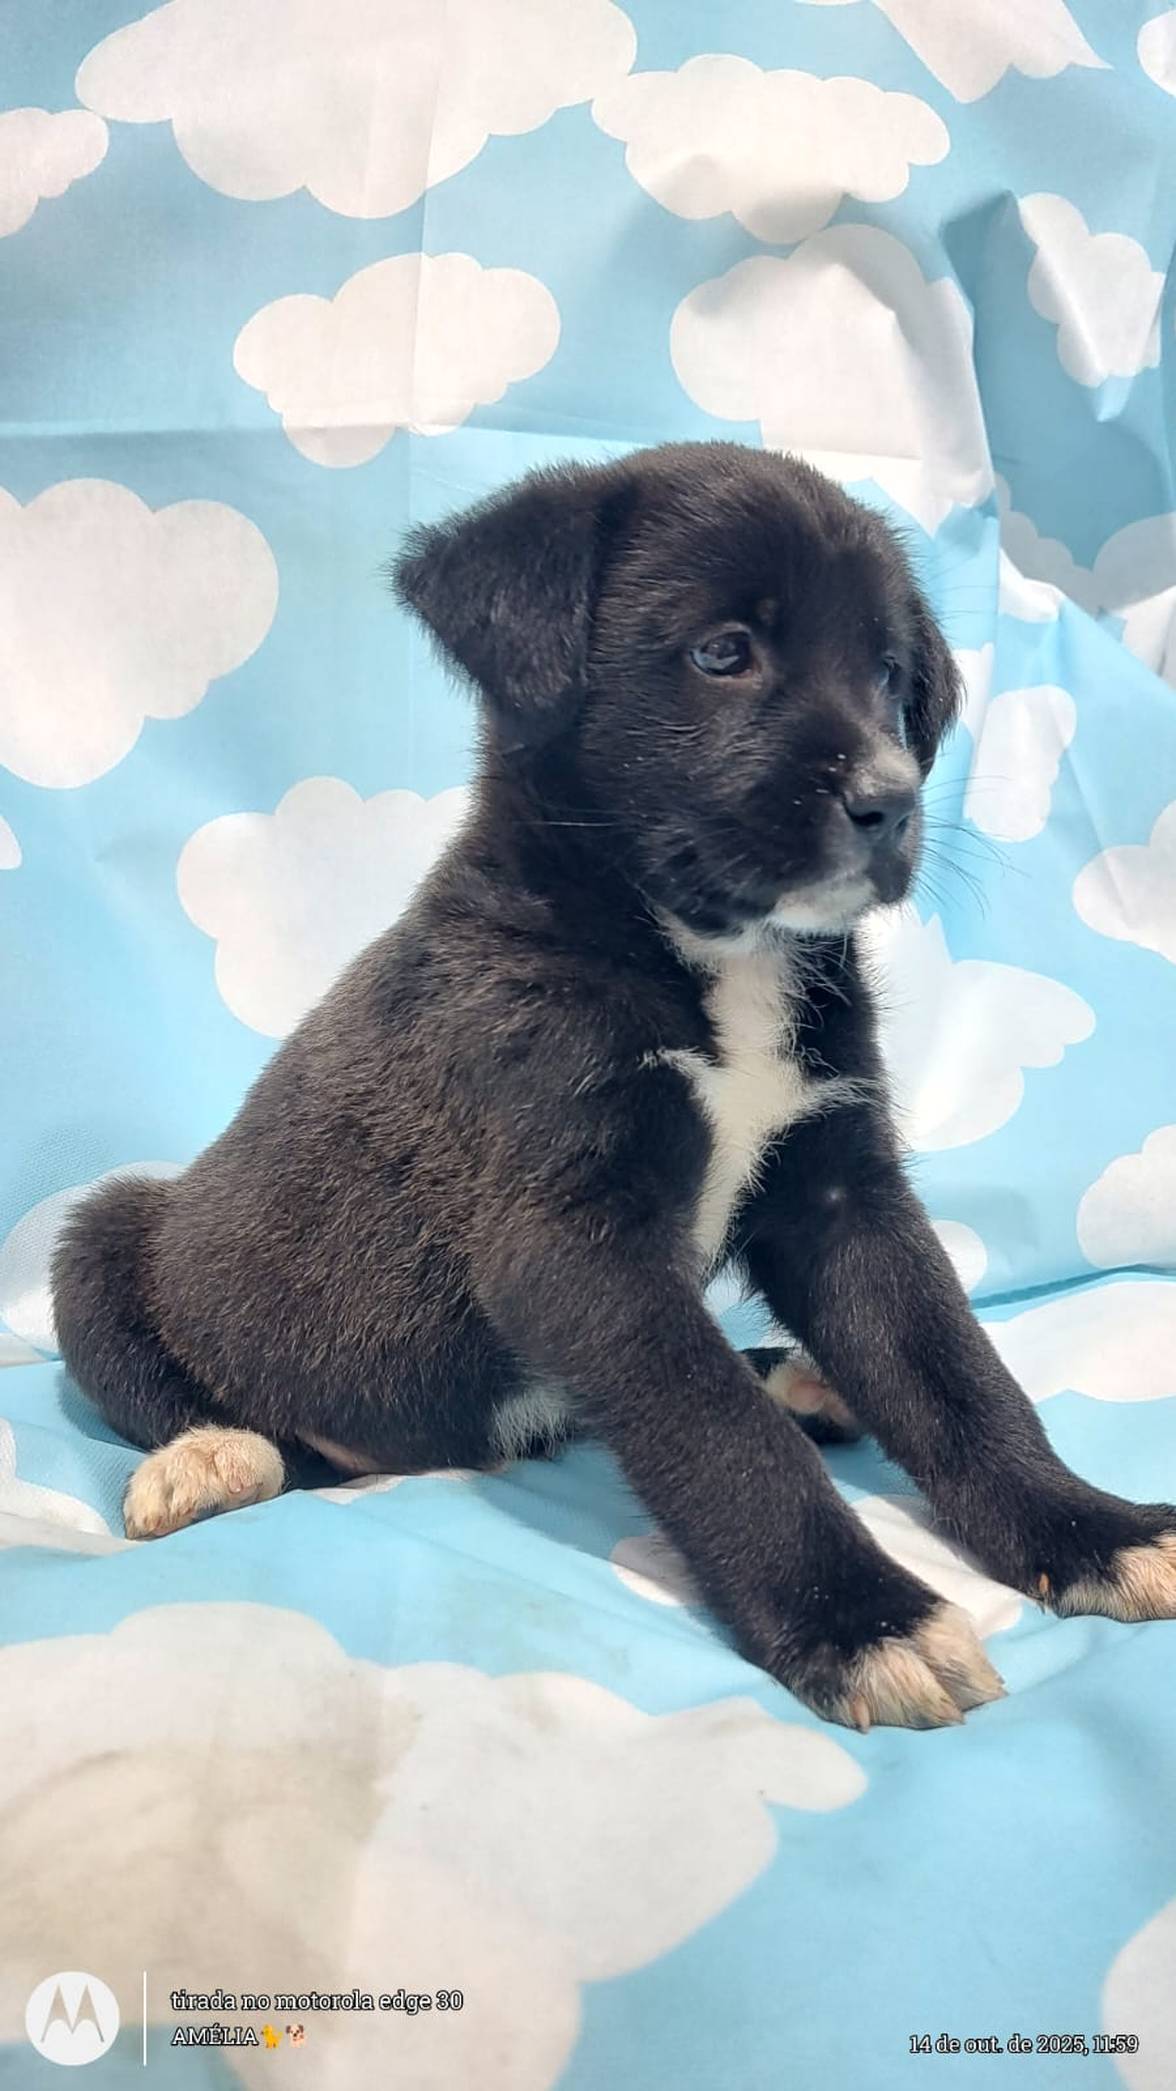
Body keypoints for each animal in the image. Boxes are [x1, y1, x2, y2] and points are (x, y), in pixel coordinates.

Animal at [52, 441, 1176, 1730]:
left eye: (891, 675)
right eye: (723, 652)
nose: (893, 801)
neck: (710, 958)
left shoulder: (841, 1191)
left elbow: (957, 1378)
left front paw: (1095, 1531)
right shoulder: (573, 1241)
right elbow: (721, 1436)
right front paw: (861, 1621)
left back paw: (802, 1380)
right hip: (106, 1237)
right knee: (199, 1393)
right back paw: (210, 1455)